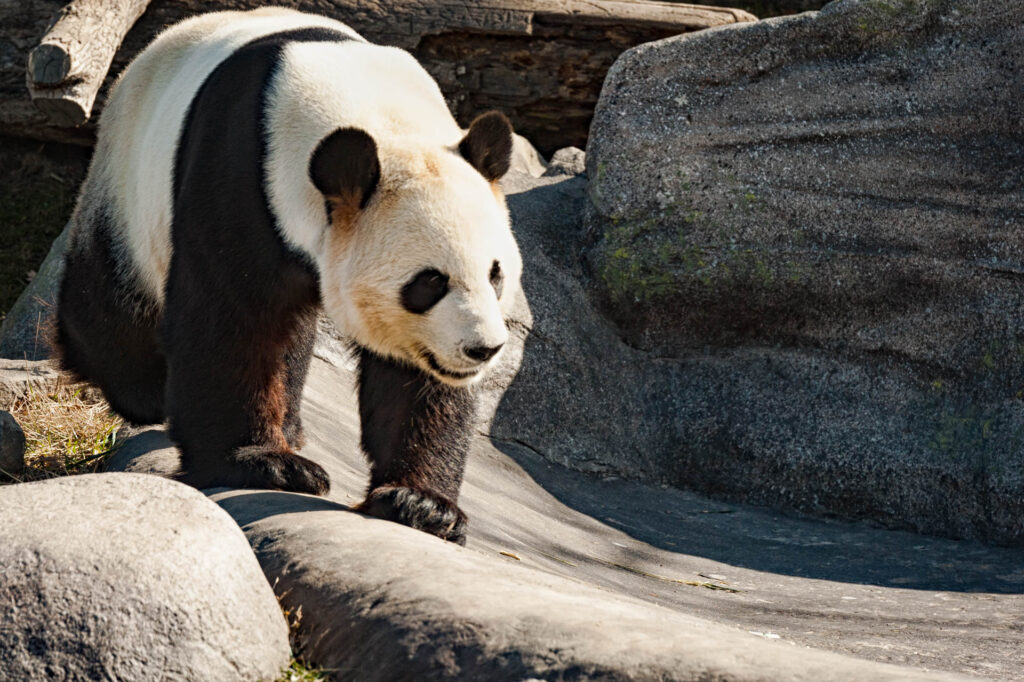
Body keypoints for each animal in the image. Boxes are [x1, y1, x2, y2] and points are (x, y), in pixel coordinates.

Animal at [55, 7, 520, 544]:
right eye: (429, 283)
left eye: (496, 275)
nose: (483, 349)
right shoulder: (241, 177)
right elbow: (232, 320)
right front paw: (263, 465)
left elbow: (414, 376)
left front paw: (421, 503)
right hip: (131, 183)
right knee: (115, 306)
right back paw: (140, 388)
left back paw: (291, 425)